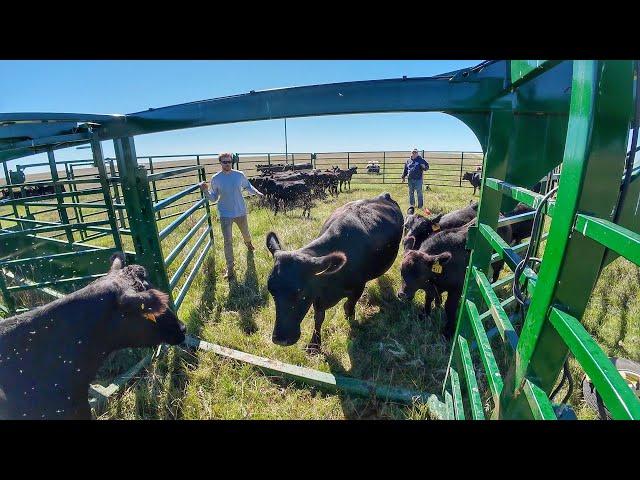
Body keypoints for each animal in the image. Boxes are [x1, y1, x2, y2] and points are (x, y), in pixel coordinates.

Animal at [268, 194, 402, 352]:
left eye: (301, 292)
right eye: (271, 291)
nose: (281, 339)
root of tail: (383, 195)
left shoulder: (358, 288)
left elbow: (349, 307)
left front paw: (352, 324)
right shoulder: (317, 294)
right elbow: (319, 317)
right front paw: (315, 344)